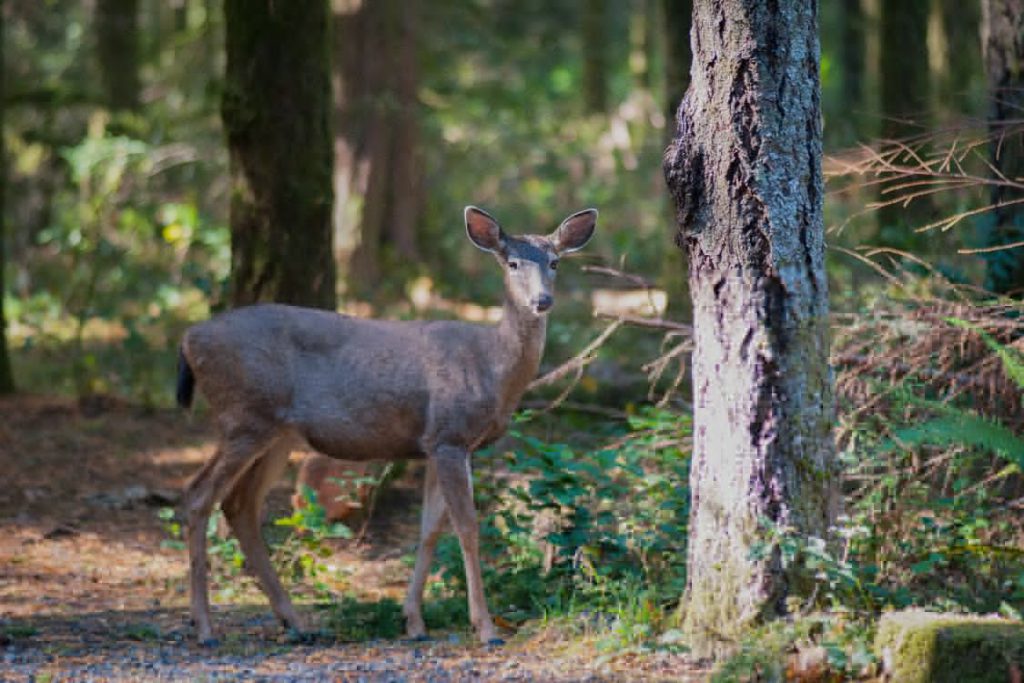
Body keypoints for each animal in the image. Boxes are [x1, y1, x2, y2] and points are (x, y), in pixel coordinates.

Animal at [173, 204, 598, 647]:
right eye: (512, 262)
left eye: (555, 262)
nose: (542, 300)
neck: (491, 367)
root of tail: (187, 339)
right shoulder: (449, 435)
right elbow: (466, 527)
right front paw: (485, 627)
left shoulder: (438, 443)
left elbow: (429, 530)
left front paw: (414, 621)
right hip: (243, 416)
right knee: (197, 495)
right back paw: (205, 627)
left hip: (276, 432)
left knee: (240, 505)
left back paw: (294, 621)